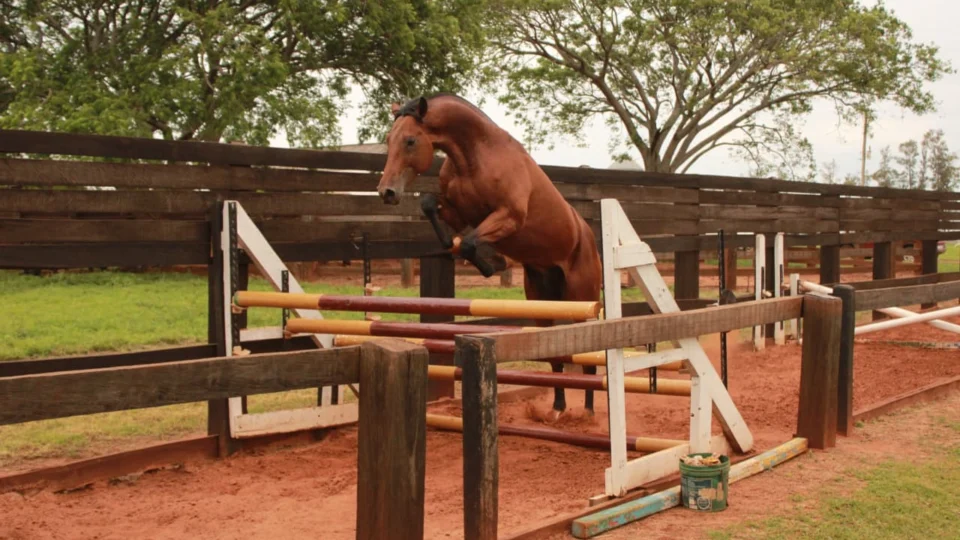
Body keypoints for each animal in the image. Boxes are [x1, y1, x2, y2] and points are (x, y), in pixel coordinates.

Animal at [375, 93, 603, 418]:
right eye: (388, 139)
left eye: (410, 140)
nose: (387, 192)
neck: (474, 157)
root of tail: (586, 236)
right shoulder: (458, 212)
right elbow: (430, 204)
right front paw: (451, 246)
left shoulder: (508, 217)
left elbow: (470, 243)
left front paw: (490, 263)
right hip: (543, 302)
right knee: (555, 354)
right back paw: (558, 408)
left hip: (580, 301)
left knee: (589, 356)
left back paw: (588, 411)